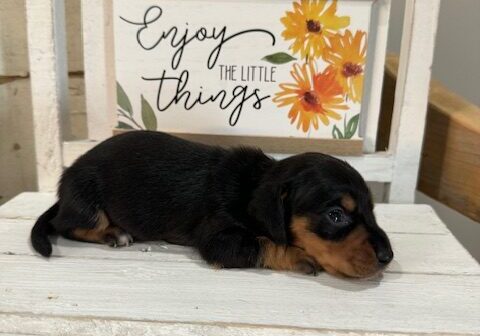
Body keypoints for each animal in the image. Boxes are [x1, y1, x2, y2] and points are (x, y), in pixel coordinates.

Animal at [32, 131, 394, 278]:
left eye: (372, 210)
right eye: (336, 215)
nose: (388, 258)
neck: (253, 184)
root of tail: (65, 182)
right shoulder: (219, 239)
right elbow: (264, 243)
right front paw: (299, 255)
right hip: (87, 203)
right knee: (68, 225)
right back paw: (113, 233)